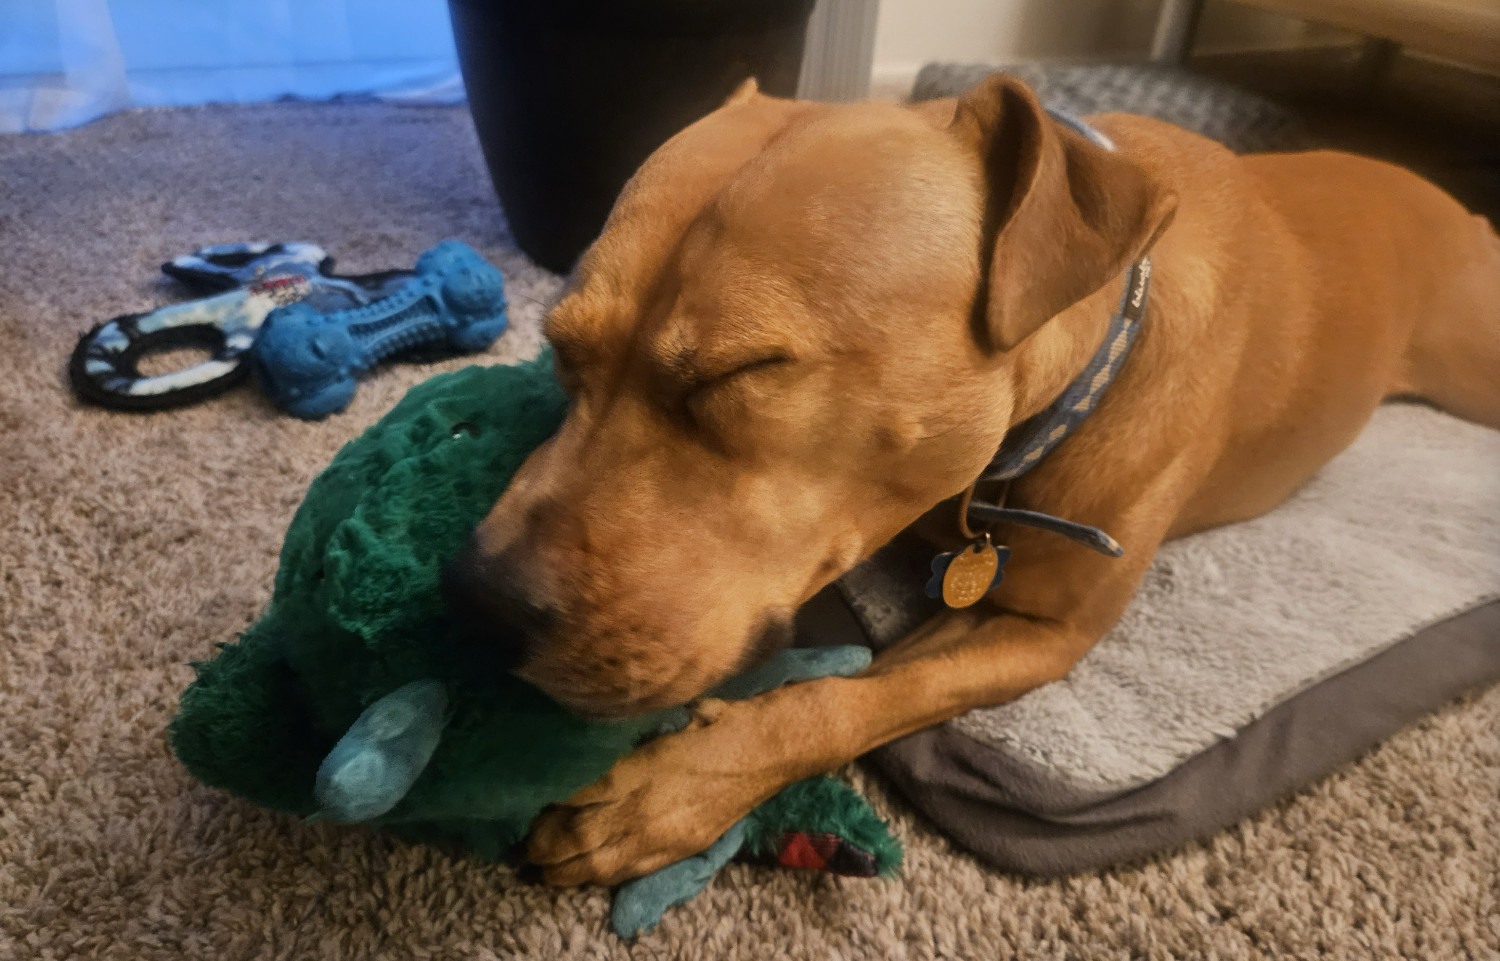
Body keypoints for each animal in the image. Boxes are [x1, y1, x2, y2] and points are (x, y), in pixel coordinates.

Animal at [441, 76, 1500, 887]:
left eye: (737, 375)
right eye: (559, 346)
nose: (477, 603)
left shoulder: (1043, 634)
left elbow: (841, 700)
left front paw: (665, 791)